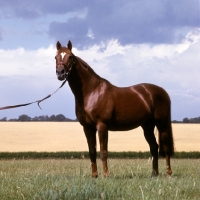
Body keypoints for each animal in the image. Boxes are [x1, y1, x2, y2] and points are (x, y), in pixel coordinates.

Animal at [54, 40, 173, 177]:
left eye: (70, 57)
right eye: (55, 57)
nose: (60, 73)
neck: (92, 92)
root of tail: (163, 92)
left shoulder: (102, 126)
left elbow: (103, 152)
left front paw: (106, 175)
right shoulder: (87, 128)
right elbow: (92, 152)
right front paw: (94, 175)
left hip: (161, 123)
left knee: (165, 147)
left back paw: (168, 172)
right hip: (147, 126)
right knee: (154, 147)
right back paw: (154, 173)